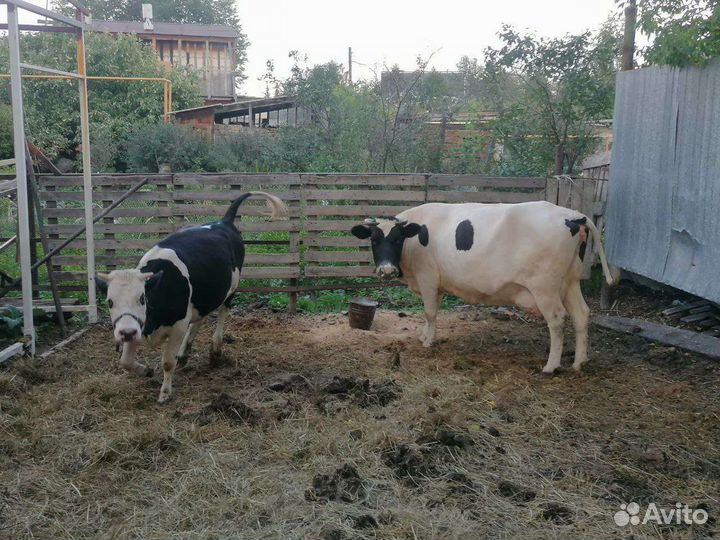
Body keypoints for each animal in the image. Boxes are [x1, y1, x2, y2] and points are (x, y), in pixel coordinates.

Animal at [95, 192, 288, 403]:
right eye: (110, 302)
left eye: (142, 298)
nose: (126, 333)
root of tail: (224, 222)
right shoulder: (138, 327)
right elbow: (125, 362)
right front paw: (146, 371)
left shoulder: (177, 326)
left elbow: (167, 362)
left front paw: (165, 392)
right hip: (203, 297)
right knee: (200, 319)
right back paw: (185, 353)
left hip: (232, 287)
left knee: (223, 312)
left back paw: (215, 349)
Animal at [350, 201, 615, 374]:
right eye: (374, 239)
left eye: (397, 239)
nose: (386, 270)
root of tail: (573, 215)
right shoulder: (435, 285)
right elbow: (429, 314)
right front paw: (424, 335)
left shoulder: (427, 278)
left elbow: (429, 312)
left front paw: (427, 342)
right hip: (570, 280)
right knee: (581, 314)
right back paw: (579, 362)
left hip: (545, 287)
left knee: (558, 319)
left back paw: (551, 366)